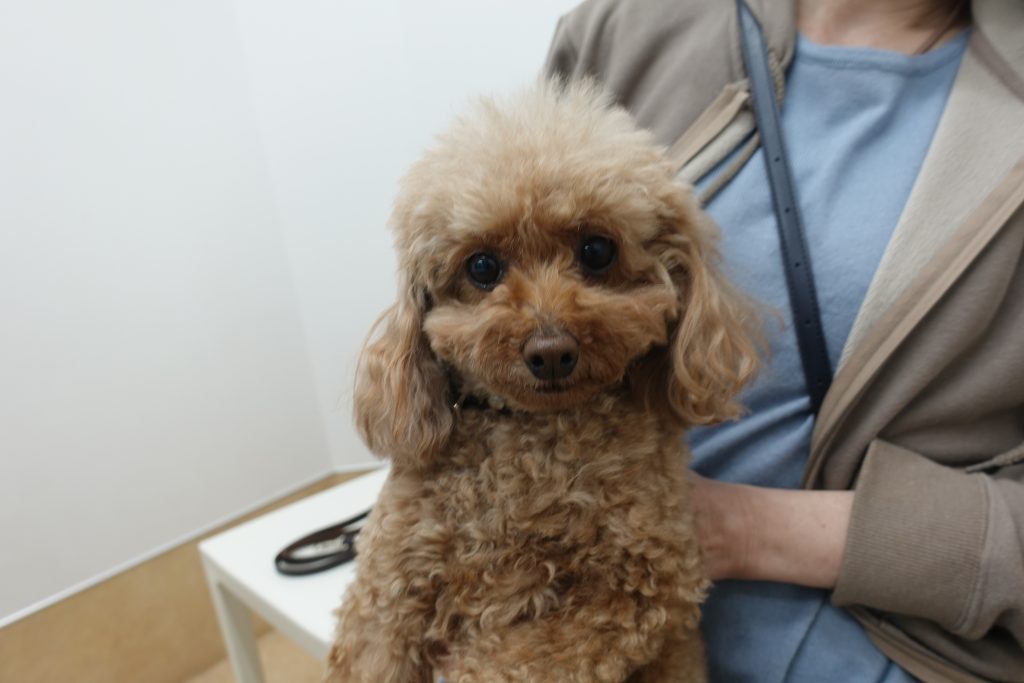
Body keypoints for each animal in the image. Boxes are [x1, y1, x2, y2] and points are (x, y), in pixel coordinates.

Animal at [325, 79, 758, 683]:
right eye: (482, 267)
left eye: (597, 250)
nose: (551, 353)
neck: (533, 441)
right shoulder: (388, 586)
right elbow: (373, 648)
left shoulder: (643, 584)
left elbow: (506, 661)